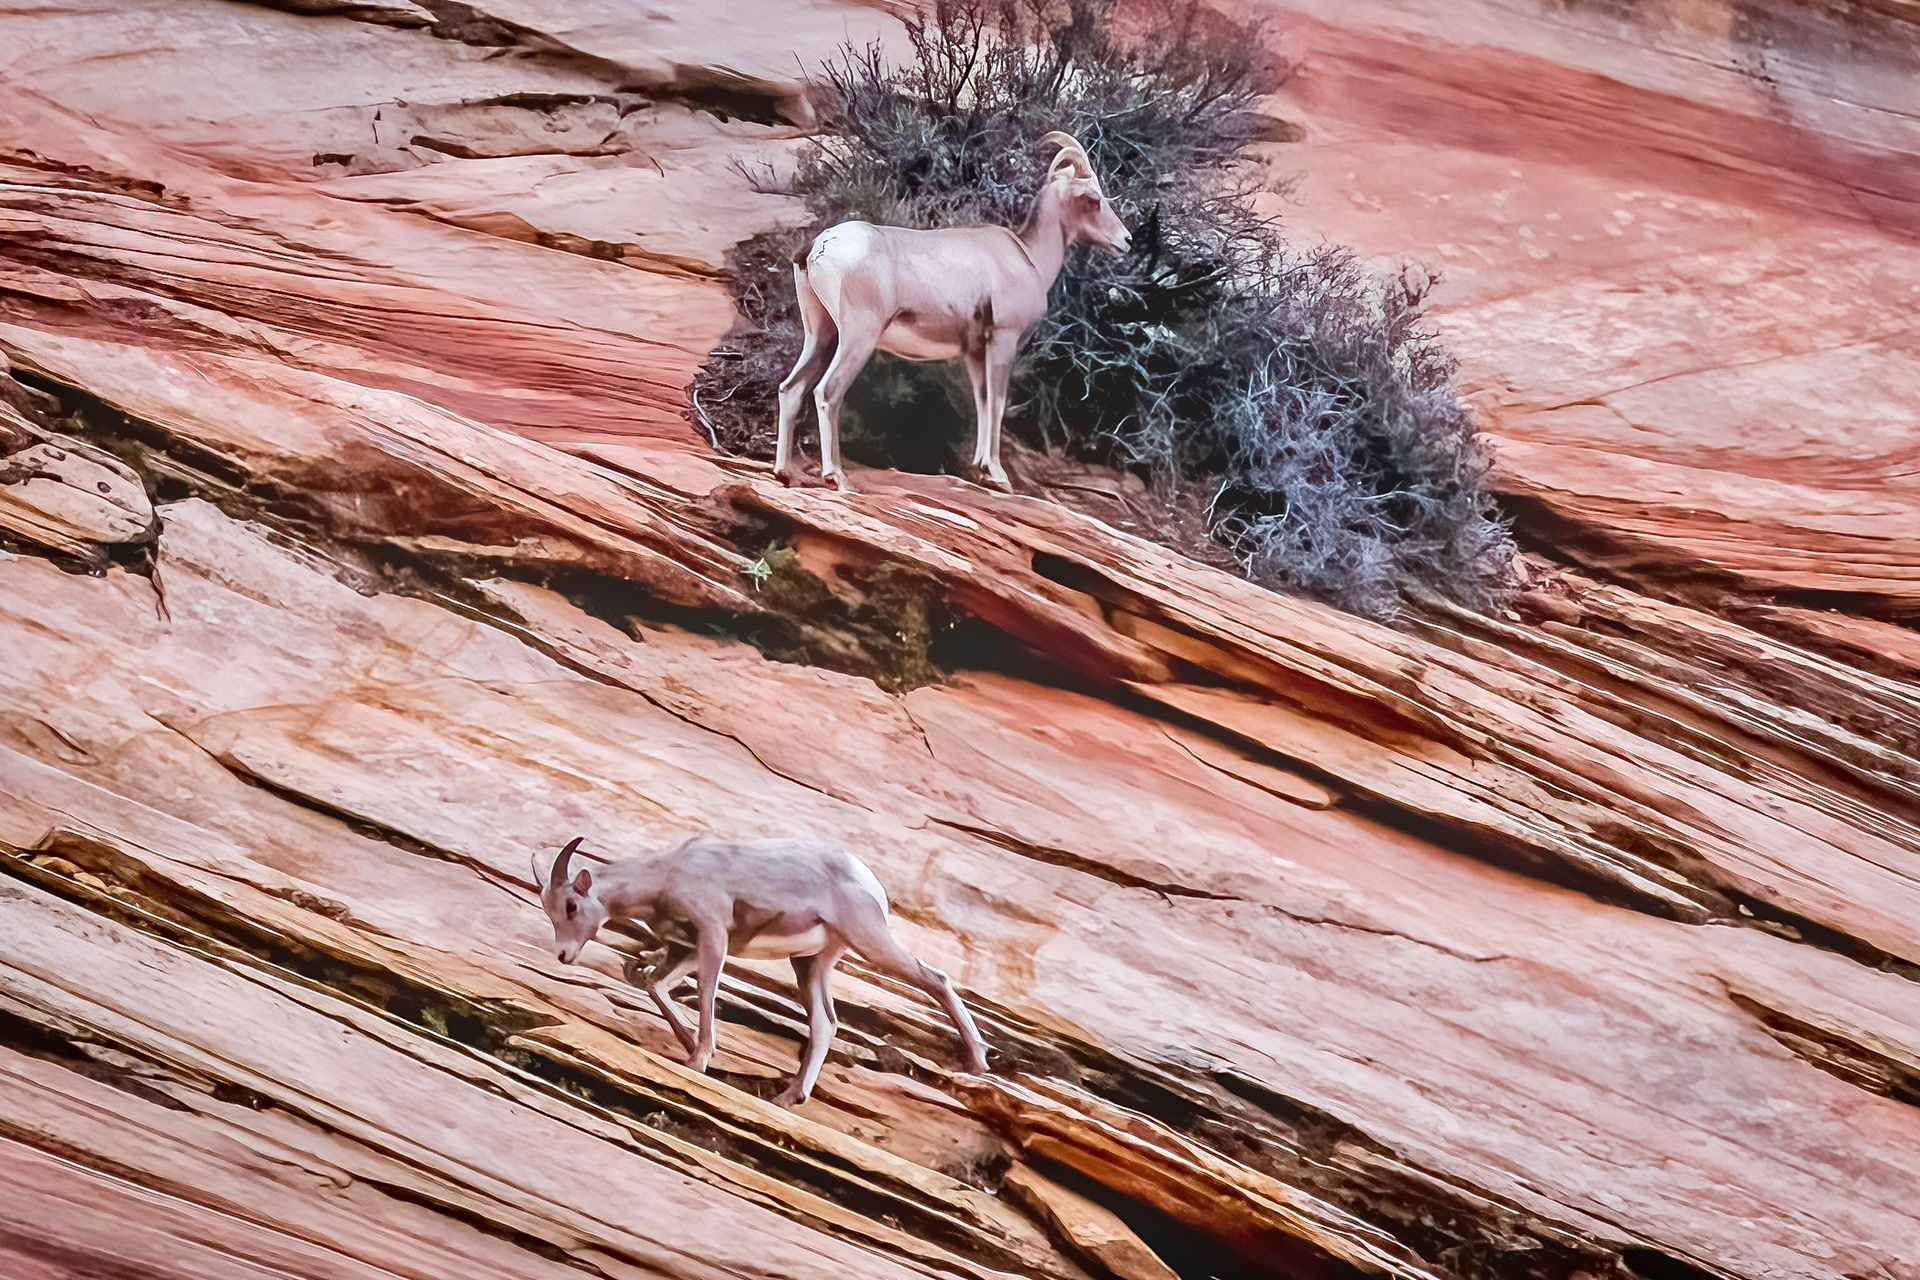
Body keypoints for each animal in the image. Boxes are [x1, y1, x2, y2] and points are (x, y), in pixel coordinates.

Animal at [532, 835, 990, 1106]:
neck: (667, 875)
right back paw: (790, 1097)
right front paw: (691, 1046)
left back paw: (978, 1062)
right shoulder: (689, 949)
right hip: (810, 963)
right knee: (825, 1023)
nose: (564, 955)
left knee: (935, 979)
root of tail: (871, 884)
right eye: (549, 909)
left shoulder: (713, 936)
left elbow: (704, 992)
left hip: (869, 941)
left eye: (571, 906)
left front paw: (699, 1060)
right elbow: (654, 985)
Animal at [773, 131, 1131, 492]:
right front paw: (998, 475)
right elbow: (998, 402)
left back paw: (784, 472)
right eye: (1092, 198)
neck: (1029, 256)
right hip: (857, 339)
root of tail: (818, 246)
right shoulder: (1002, 341)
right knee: (827, 392)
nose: (1126, 240)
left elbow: (983, 401)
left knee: (791, 389)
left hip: (821, 336)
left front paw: (982, 469)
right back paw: (836, 475)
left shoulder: (975, 352)